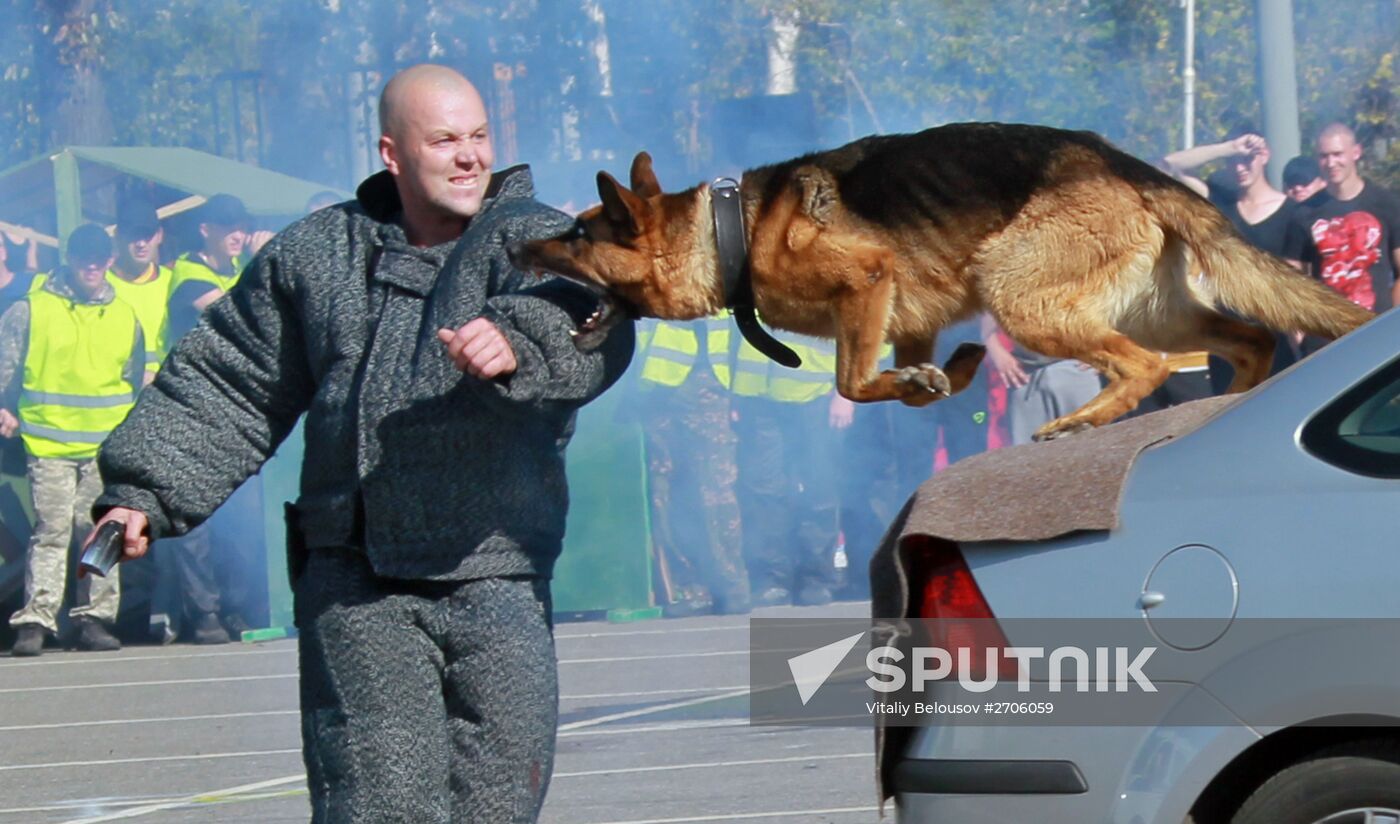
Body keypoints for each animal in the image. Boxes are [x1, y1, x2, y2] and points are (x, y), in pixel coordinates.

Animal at [506, 121, 1366, 436]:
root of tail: (1131, 167)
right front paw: (943, 374)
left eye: (576, 234)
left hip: (1022, 293)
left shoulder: (868, 278)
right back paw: (1230, 404)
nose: (515, 251)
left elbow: (851, 382)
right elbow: (902, 378)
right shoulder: (902, 318)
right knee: (1249, 339)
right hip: (1157, 311)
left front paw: (921, 380)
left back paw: (1085, 420)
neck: (727, 235)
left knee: (1145, 366)